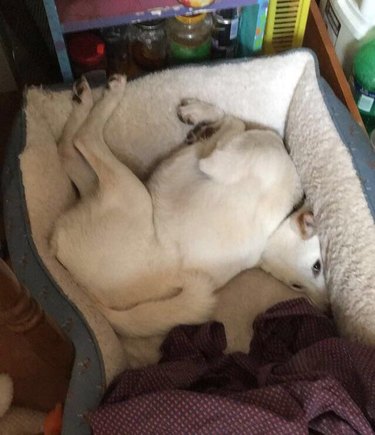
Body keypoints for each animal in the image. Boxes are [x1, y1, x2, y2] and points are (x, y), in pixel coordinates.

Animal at [51, 74, 328, 340]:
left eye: (299, 283)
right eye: (317, 267)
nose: (324, 308)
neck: (278, 226)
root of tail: (88, 292)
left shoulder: (215, 161)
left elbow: (233, 124)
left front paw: (205, 125)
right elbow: (231, 120)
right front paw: (199, 116)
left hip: (130, 192)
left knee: (81, 142)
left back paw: (104, 94)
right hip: (109, 188)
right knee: (67, 149)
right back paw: (84, 99)